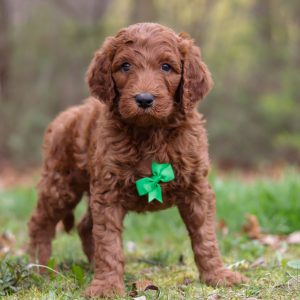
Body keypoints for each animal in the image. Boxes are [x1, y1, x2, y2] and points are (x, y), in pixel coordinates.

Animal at [28, 22, 248, 296]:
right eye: (125, 66)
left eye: (166, 67)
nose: (144, 99)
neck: (151, 133)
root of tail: (66, 115)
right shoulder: (109, 191)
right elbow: (109, 241)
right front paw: (107, 286)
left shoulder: (197, 187)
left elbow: (205, 236)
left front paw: (217, 275)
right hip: (60, 182)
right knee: (40, 223)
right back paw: (38, 268)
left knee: (85, 226)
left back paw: (90, 266)